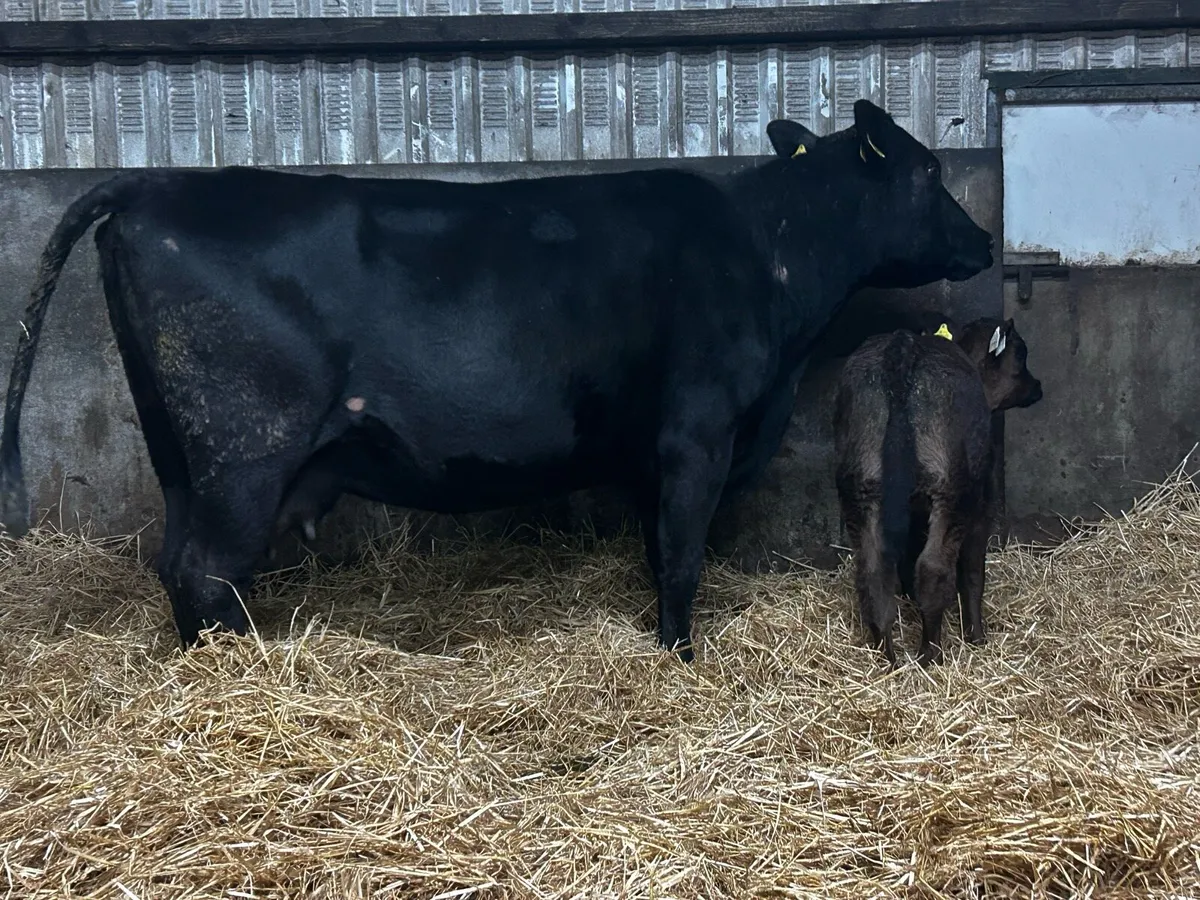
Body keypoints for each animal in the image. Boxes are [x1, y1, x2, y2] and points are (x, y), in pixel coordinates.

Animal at [0, 99, 994, 660]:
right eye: (930, 169)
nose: (984, 241)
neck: (768, 254)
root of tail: (152, 185)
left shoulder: (650, 452)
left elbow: (654, 548)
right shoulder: (697, 430)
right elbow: (681, 554)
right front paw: (681, 658)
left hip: (182, 453)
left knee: (180, 568)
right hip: (242, 449)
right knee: (205, 570)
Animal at [833, 316, 1042, 669]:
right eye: (1021, 355)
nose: (1038, 387)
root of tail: (903, 348)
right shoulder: (982, 504)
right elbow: (972, 571)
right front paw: (977, 637)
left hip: (859, 492)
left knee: (873, 572)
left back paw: (888, 659)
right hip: (951, 494)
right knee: (933, 568)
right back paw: (930, 654)